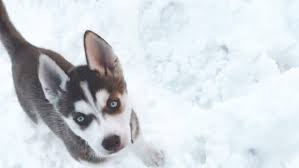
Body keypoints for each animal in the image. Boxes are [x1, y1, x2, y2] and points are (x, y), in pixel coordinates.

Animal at [0, 0, 164, 165]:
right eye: (80, 118)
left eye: (113, 103)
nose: (111, 142)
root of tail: (22, 48)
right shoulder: (84, 158)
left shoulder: (132, 123)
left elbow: (137, 141)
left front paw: (150, 156)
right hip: (32, 113)